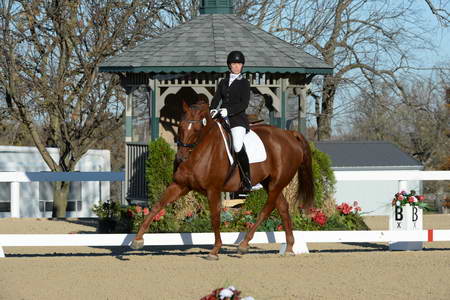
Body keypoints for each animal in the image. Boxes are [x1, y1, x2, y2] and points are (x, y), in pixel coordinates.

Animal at [130, 99, 312, 258]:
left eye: (197, 130)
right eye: (180, 126)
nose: (181, 158)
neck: (199, 151)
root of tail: (289, 134)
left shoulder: (213, 189)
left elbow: (215, 217)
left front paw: (215, 250)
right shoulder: (179, 185)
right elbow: (157, 206)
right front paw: (137, 240)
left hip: (276, 184)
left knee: (266, 209)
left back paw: (244, 244)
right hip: (270, 183)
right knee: (282, 207)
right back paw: (289, 248)